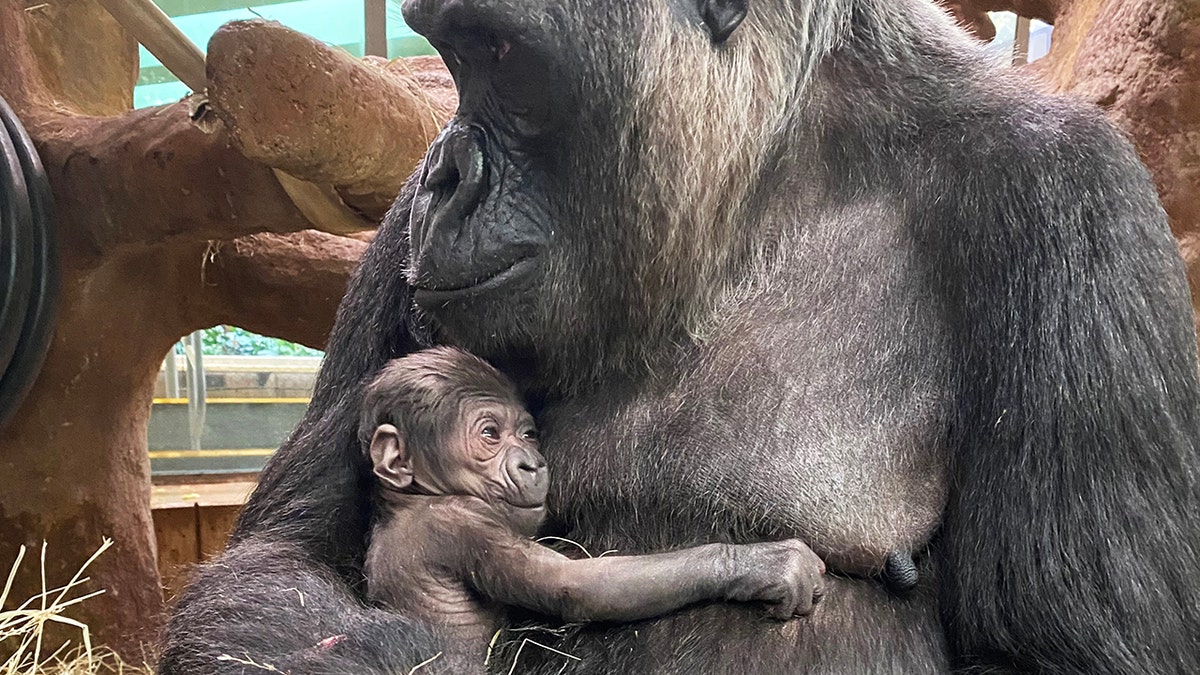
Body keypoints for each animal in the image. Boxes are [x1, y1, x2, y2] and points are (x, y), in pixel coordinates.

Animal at [355, 348, 825, 667]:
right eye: (489, 434)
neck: (417, 499)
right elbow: (578, 585)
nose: (532, 463)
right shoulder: (462, 523)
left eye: (527, 435)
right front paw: (756, 565)